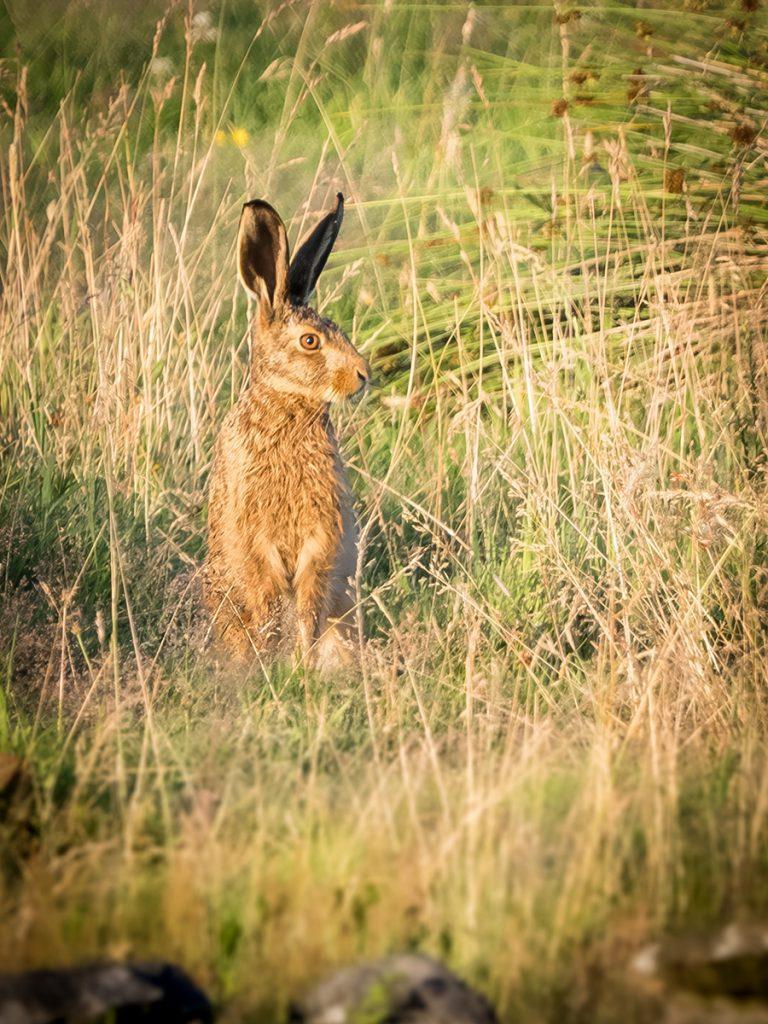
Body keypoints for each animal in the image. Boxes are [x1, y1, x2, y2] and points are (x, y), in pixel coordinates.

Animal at [204, 193, 370, 669]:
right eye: (310, 341)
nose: (363, 375)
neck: (290, 408)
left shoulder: (323, 532)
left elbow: (310, 596)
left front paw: (300, 656)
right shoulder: (254, 534)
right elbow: (268, 595)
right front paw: (275, 654)